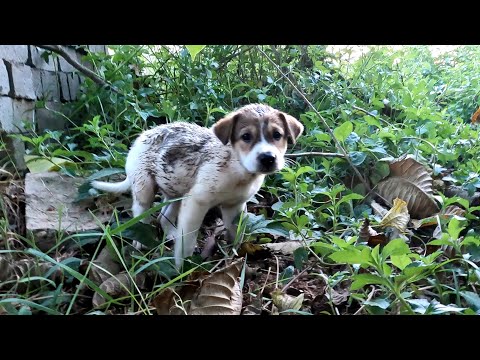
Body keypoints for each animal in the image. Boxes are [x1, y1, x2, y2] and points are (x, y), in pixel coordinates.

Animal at [91, 103, 302, 268]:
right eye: (246, 136)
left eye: (277, 135)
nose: (268, 158)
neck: (236, 169)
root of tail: (140, 138)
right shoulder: (196, 203)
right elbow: (188, 242)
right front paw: (181, 268)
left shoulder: (235, 207)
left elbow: (235, 234)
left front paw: (234, 255)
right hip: (145, 189)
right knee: (140, 218)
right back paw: (139, 244)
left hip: (175, 192)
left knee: (163, 217)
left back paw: (171, 234)